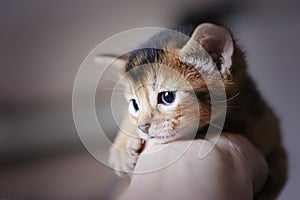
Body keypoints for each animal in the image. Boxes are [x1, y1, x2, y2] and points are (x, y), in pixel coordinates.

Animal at [100, 23, 286, 198]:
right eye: (134, 104)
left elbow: (279, 170)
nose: (143, 127)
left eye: (167, 97)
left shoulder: (271, 130)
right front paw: (121, 148)